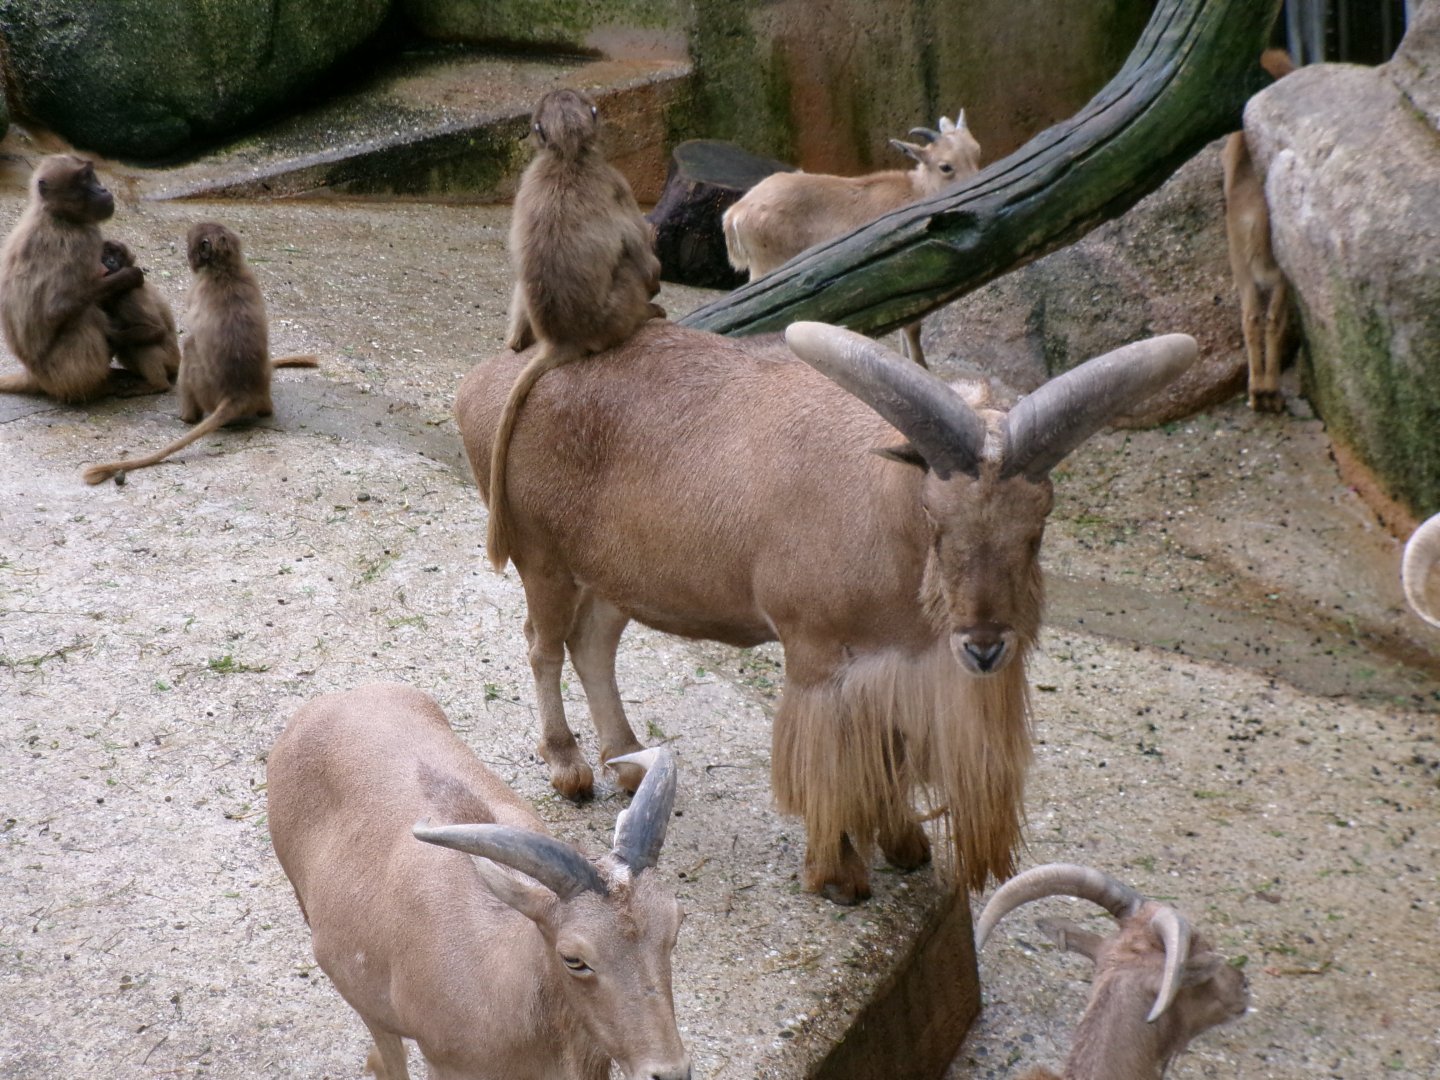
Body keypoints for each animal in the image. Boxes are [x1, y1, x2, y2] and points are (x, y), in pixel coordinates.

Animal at [455, 318, 1196, 904]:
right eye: (936, 519)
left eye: (1036, 528)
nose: (985, 646)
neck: (884, 504)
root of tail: (483, 381)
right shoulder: (817, 656)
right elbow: (831, 761)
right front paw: (840, 876)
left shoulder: (896, 664)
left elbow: (889, 753)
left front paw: (906, 846)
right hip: (544, 559)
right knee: (543, 644)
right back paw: (570, 769)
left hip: (615, 578)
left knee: (593, 644)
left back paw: (631, 761)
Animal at [721, 113, 982, 367]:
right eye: (945, 166)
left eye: (977, 150)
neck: (915, 192)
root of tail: (734, 214)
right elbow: (912, 328)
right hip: (765, 269)